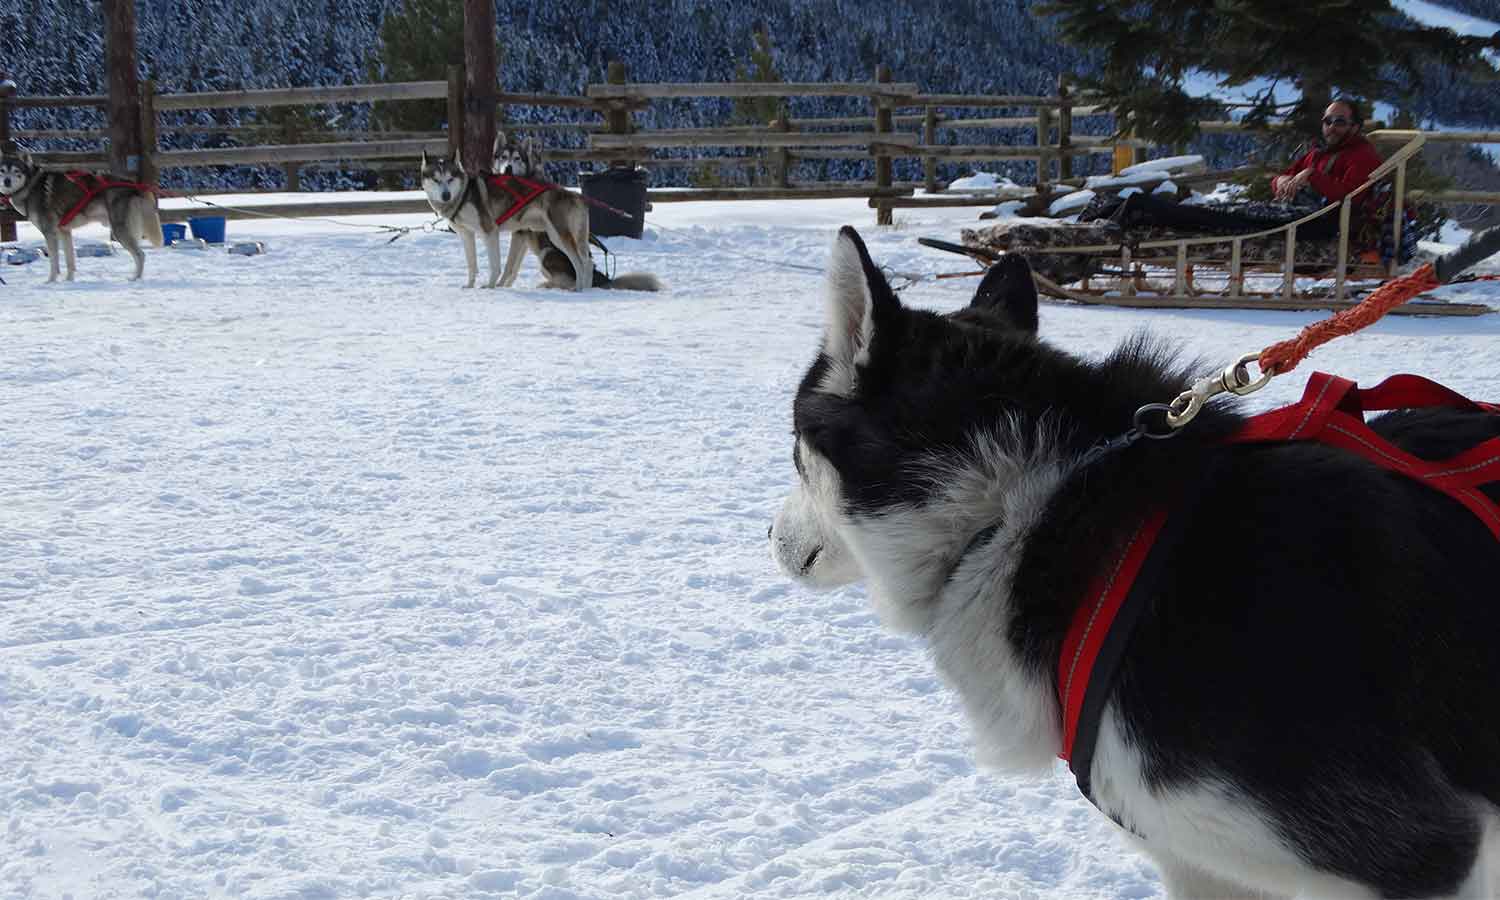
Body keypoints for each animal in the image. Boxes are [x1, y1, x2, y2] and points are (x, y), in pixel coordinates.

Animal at [0, 149, 164, 282]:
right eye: (2, 170)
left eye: (15, 170)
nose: (6, 181)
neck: (30, 185)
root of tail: (134, 185)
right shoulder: (64, 232)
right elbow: (70, 261)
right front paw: (69, 280)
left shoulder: (50, 233)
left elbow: (54, 262)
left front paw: (51, 281)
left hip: (120, 232)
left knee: (140, 255)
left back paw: (135, 278)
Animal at [489, 132, 660, 292]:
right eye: (503, 157)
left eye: (517, 158)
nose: (508, 168)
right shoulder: (523, 238)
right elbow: (514, 268)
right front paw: (506, 285)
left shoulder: (520, 234)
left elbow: (509, 266)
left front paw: (499, 285)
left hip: (550, 249)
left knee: (571, 275)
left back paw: (553, 286)